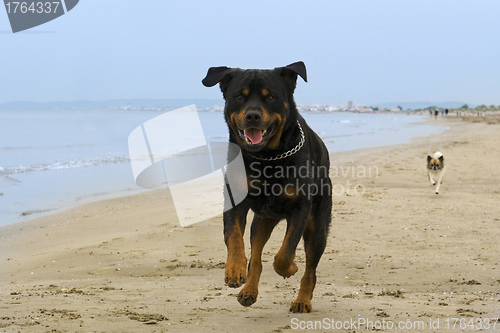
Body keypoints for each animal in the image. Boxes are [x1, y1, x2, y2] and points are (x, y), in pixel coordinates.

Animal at [203, 61, 332, 312]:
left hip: (318, 226)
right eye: (239, 96)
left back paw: (302, 300)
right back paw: (249, 291)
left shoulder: (301, 208)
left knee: (311, 269)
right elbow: (233, 236)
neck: (267, 157)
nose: (252, 115)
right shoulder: (234, 198)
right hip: (262, 220)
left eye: (270, 97)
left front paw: (290, 267)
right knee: (256, 255)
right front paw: (234, 268)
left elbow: (286, 252)